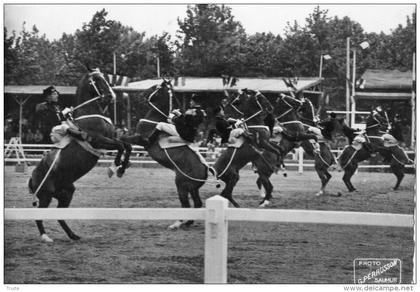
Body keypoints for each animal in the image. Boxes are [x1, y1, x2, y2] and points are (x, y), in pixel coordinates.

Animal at [27, 66, 132, 242]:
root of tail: (32, 178)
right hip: (45, 196)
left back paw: (73, 235)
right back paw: (45, 237)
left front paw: (121, 169)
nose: (111, 96)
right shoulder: (99, 140)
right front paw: (114, 168)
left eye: (104, 77)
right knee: (39, 215)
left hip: (66, 193)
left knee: (59, 215)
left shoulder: (111, 138)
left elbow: (127, 146)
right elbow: (121, 147)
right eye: (96, 79)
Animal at [120, 80, 208, 230]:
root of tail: (206, 171)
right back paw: (187, 223)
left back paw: (177, 223)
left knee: (186, 204)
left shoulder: (139, 140)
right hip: (192, 188)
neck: (154, 120)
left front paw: (121, 168)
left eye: (157, 87)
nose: (141, 95)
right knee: (197, 204)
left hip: (181, 185)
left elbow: (124, 142)